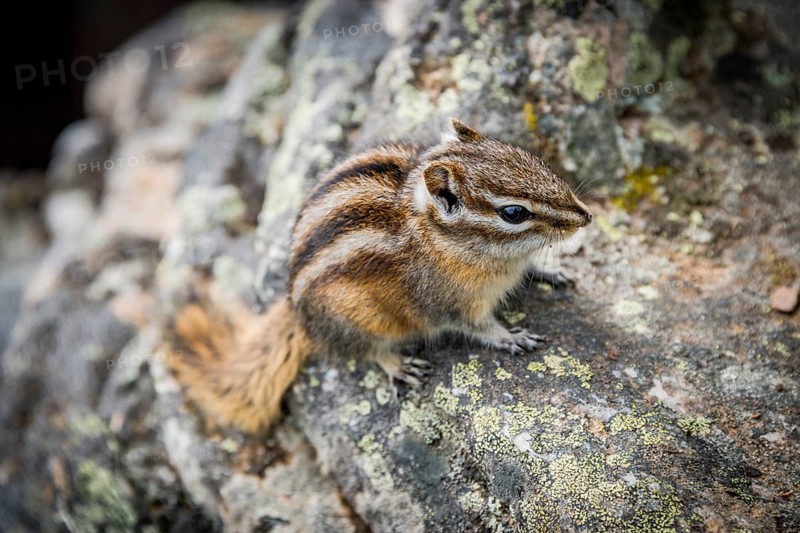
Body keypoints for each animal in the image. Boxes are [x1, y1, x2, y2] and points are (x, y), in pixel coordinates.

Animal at [168, 118, 592, 433]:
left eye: (529, 158)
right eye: (513, 213)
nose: (586, 216)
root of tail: (295, 311)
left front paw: (550, 271)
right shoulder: (448, 302)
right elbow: (478, 327)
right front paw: (511, 337)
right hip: (362, 320)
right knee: (365, 350)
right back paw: (398, 364)